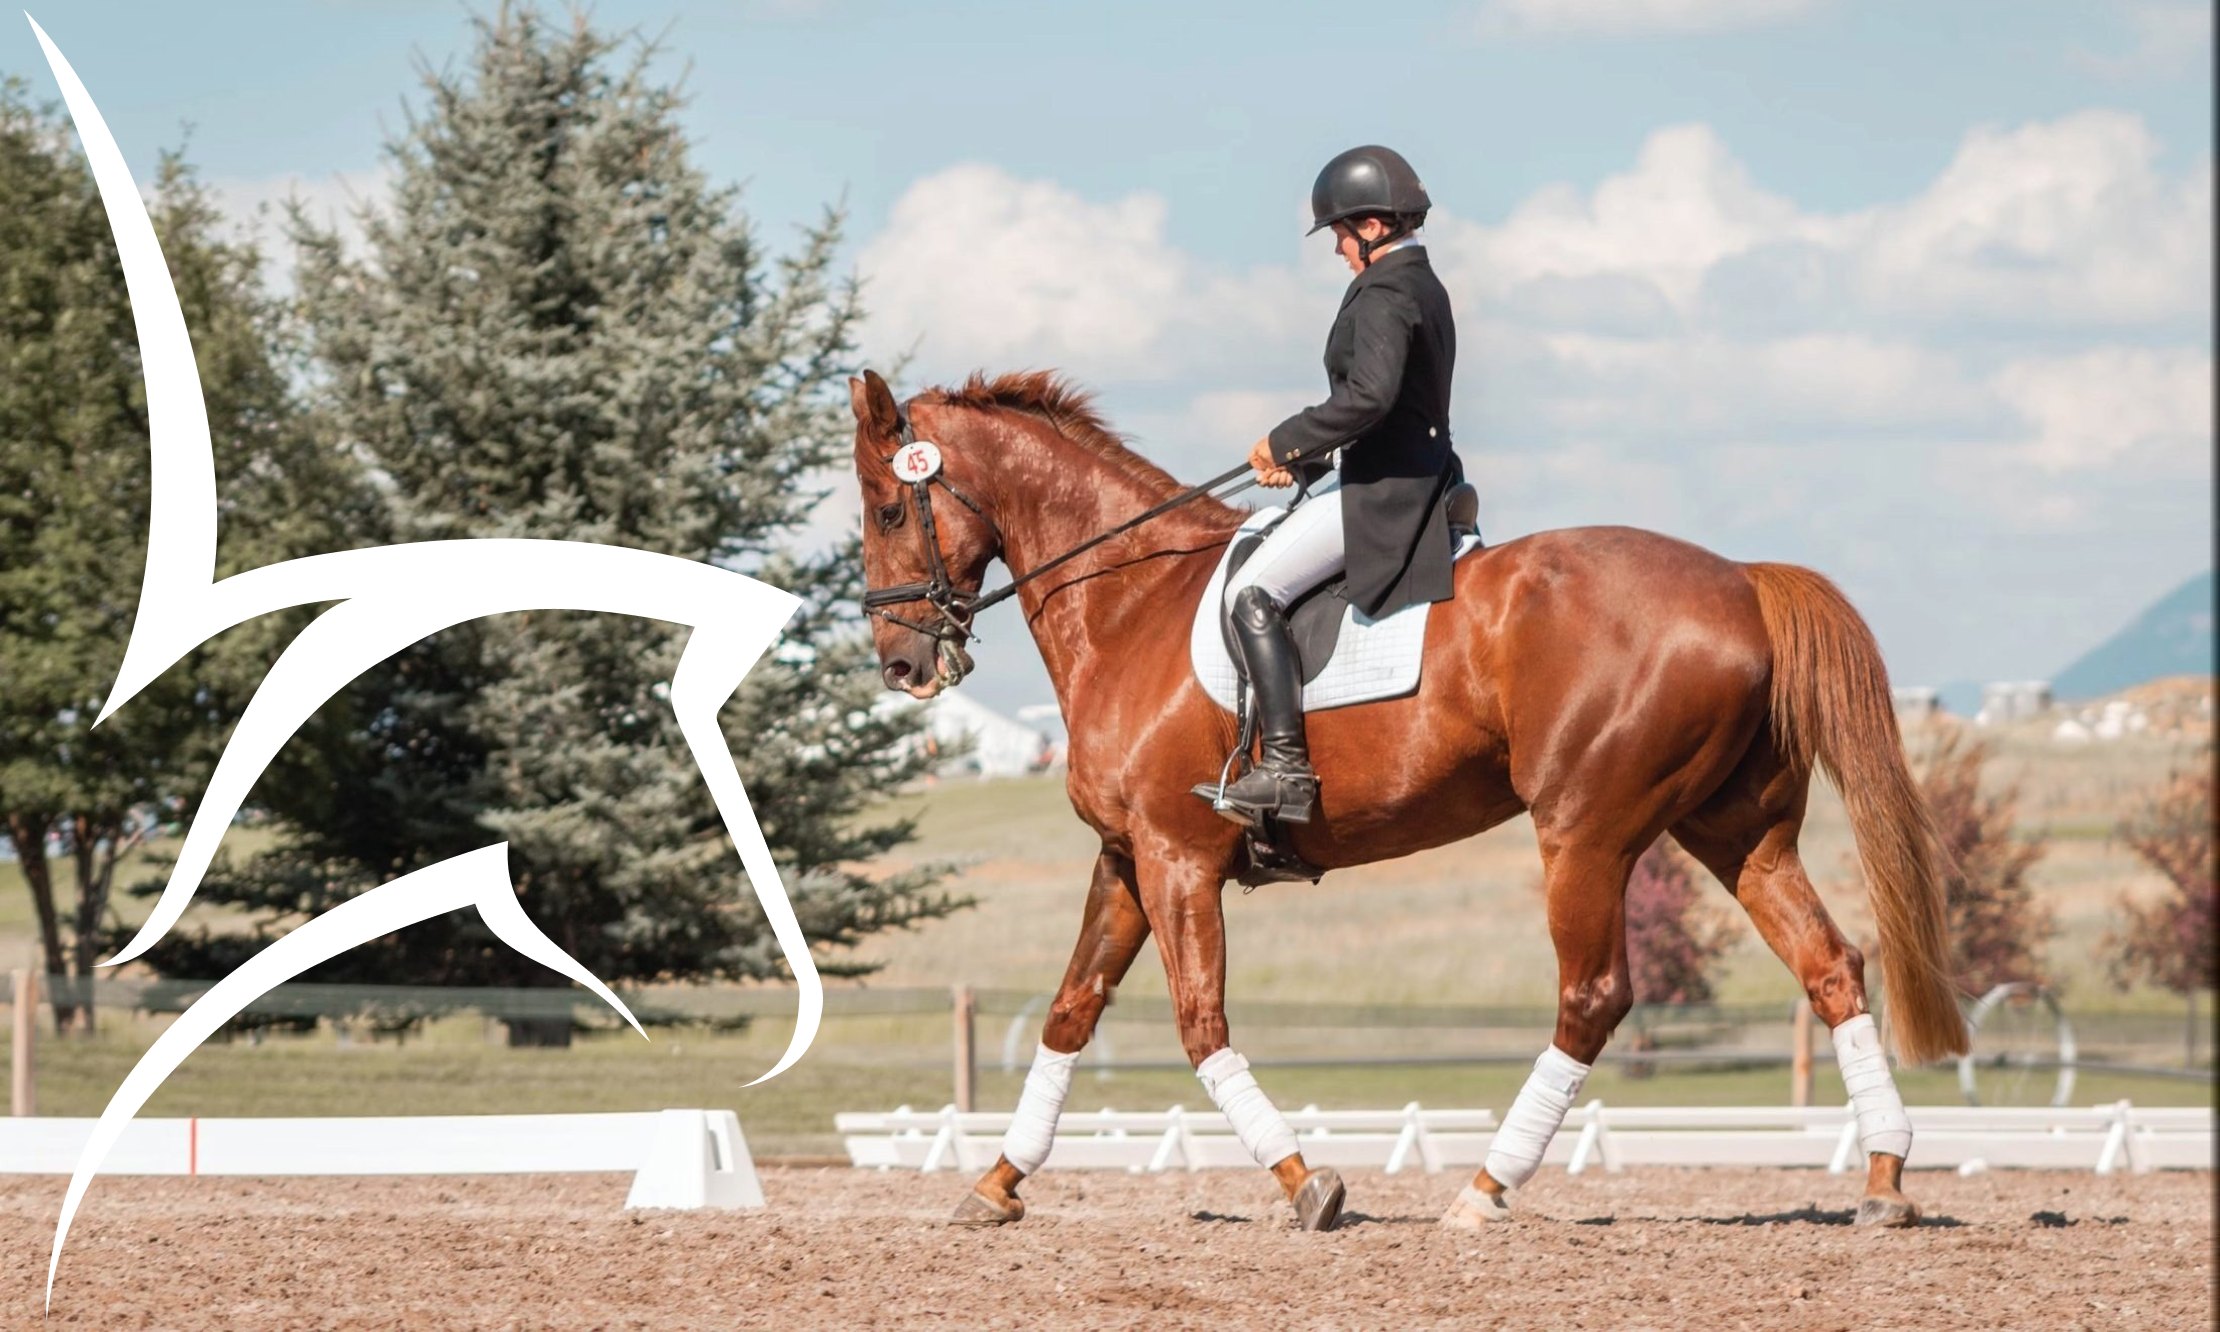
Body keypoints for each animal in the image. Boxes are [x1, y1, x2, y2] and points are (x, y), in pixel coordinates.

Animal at [847, 367, 1967, 1233]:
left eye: (891, 509)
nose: (902, 665)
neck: (1129, 602)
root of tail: (1739, 580)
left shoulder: (1177, 858)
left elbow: (1200, 1023)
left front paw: (1307, 1184)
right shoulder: (1128, 857)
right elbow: (1071, 1012)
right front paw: (995, 1185)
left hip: (1586, 833)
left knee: (1592, 997)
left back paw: (1484, 1190)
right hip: (1738, 833)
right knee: (1830, 966)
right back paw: (1884, 1180)